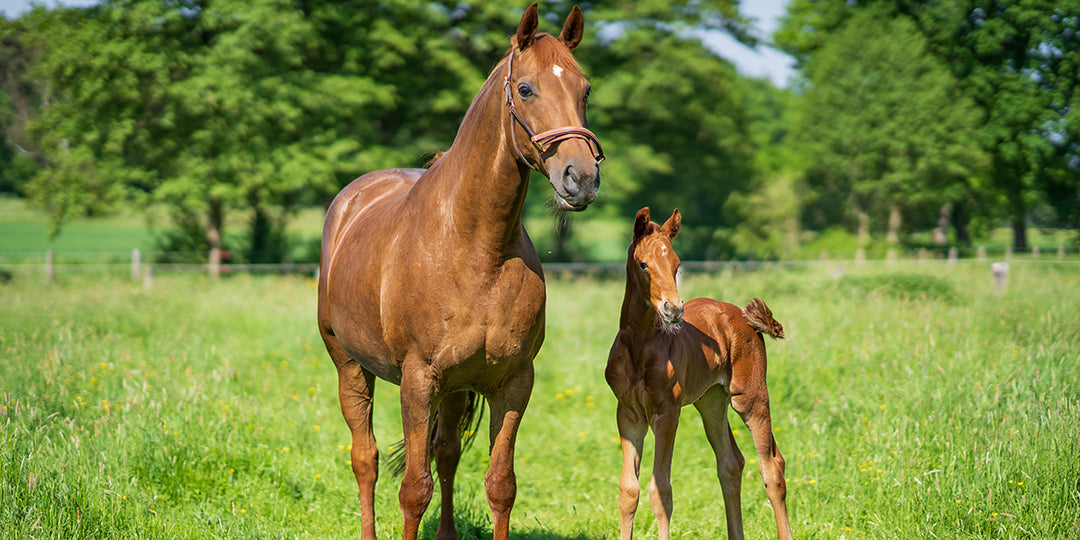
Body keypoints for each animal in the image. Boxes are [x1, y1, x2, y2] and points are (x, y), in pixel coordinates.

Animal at [315, 5, 604, 540]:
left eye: (585, 89)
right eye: (526, 88)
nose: (581, 179)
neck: (476, 250)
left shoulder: (513, 381)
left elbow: (499, 484)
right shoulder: (418, 380)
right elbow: (413, 490)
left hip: (454, 389)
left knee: (446, 453)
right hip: (349, 365)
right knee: (365, 458)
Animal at [609, 207, 794, 540]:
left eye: (677, 264)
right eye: (644, 264)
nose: (673, 309)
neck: (640, 345)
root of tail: (742, 315)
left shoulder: (667, 412)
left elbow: (661, 491)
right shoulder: (629, 413)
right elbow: (629, 489)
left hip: (749, 397)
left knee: (772, 466)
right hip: (711, 401)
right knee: (731, 462)